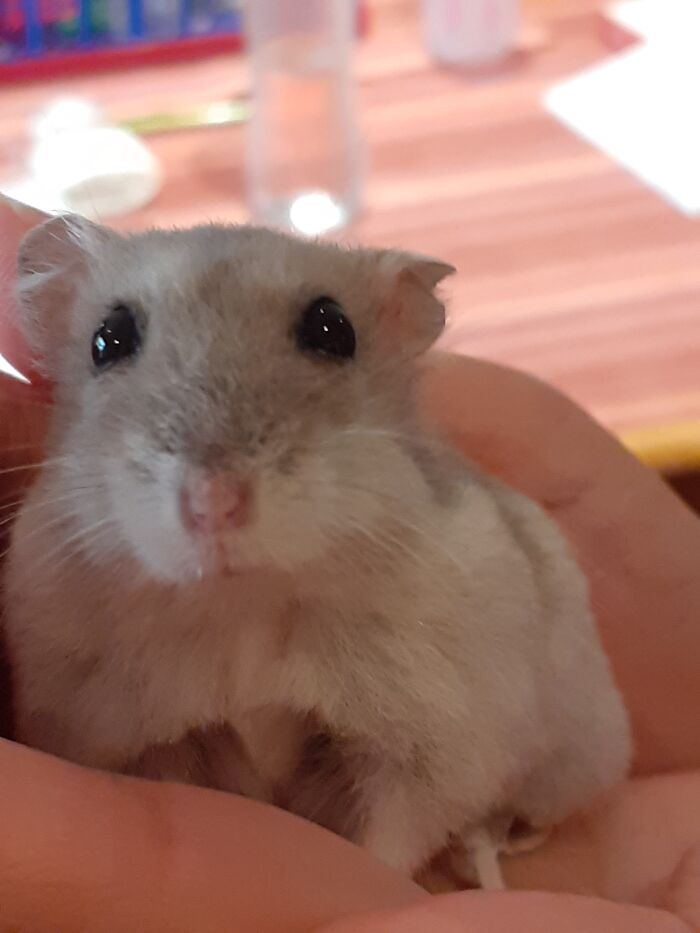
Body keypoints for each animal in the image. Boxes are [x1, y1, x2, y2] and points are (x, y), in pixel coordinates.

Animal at [3, 215, 631, 886]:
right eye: (109, 339)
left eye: (333, 329)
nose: (214, 502)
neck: (243, 607)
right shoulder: (135, 736)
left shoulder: (426, 750)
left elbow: (390, 837)